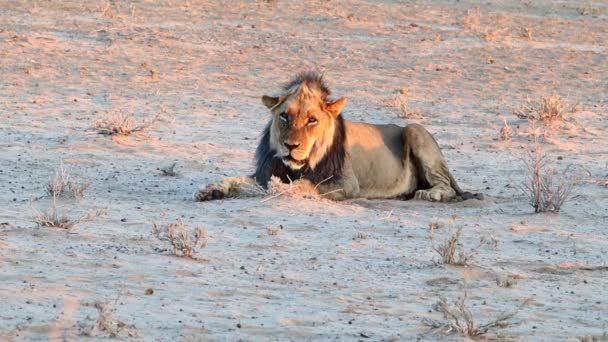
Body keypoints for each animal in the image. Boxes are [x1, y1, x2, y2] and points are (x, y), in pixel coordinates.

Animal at [196, 71, 476, 202]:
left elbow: (306, 184)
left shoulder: (346, 183)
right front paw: (212, 189)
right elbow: (237, 180)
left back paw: (430, 194)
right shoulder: (266, 174)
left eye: (312, 120)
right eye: (285, 116)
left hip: (415, 129)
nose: (290, 146)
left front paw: (288, 188)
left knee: (447, 186)